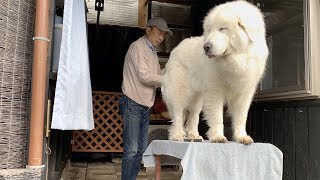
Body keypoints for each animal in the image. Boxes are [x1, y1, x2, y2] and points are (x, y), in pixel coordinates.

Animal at [161, 0, 268, 143]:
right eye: (209, 30)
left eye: (223, 29)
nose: (206, 47)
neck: (237, 59)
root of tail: (176, 48)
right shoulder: (215, 91)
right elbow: (217, 117)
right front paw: (218, 136)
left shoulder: (244, 93)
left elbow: (241, 118)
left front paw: (242, 137)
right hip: (179, 90)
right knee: (178, 114)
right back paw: (177, 135)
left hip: (198, 98)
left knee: (193, 115)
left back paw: (194, 135)